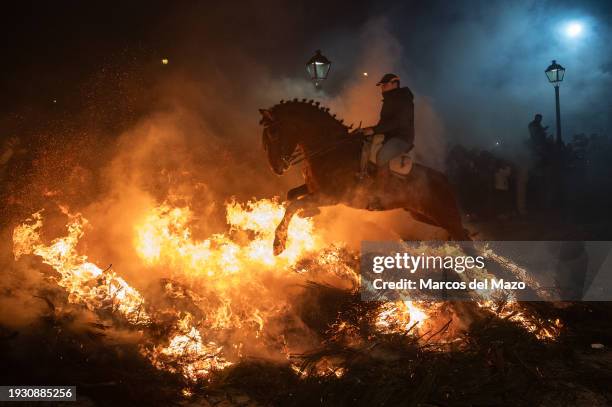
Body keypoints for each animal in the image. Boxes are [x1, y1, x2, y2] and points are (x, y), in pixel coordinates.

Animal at [258, 98, 468, 255]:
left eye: (273, 132)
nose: (277, 168)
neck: (331, 149)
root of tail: (446, 181)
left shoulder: (329, 197)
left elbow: (294, 205)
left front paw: (278, 243)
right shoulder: (312, 189)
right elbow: (291, 196)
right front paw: (309, 213)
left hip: (446, 217)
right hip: (423, 215)